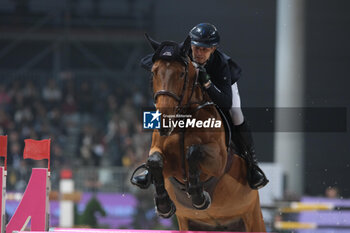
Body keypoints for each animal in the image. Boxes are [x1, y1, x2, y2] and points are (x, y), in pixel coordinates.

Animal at [137, 33, 266, 232]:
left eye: (181, 74)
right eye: (154, 72)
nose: (165, 122)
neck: (183, 121)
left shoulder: (218, 161)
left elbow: (193, 152)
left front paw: (199, 197)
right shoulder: (163, 158)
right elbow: (155, 161)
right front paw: (164, 206)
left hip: (253, 217)